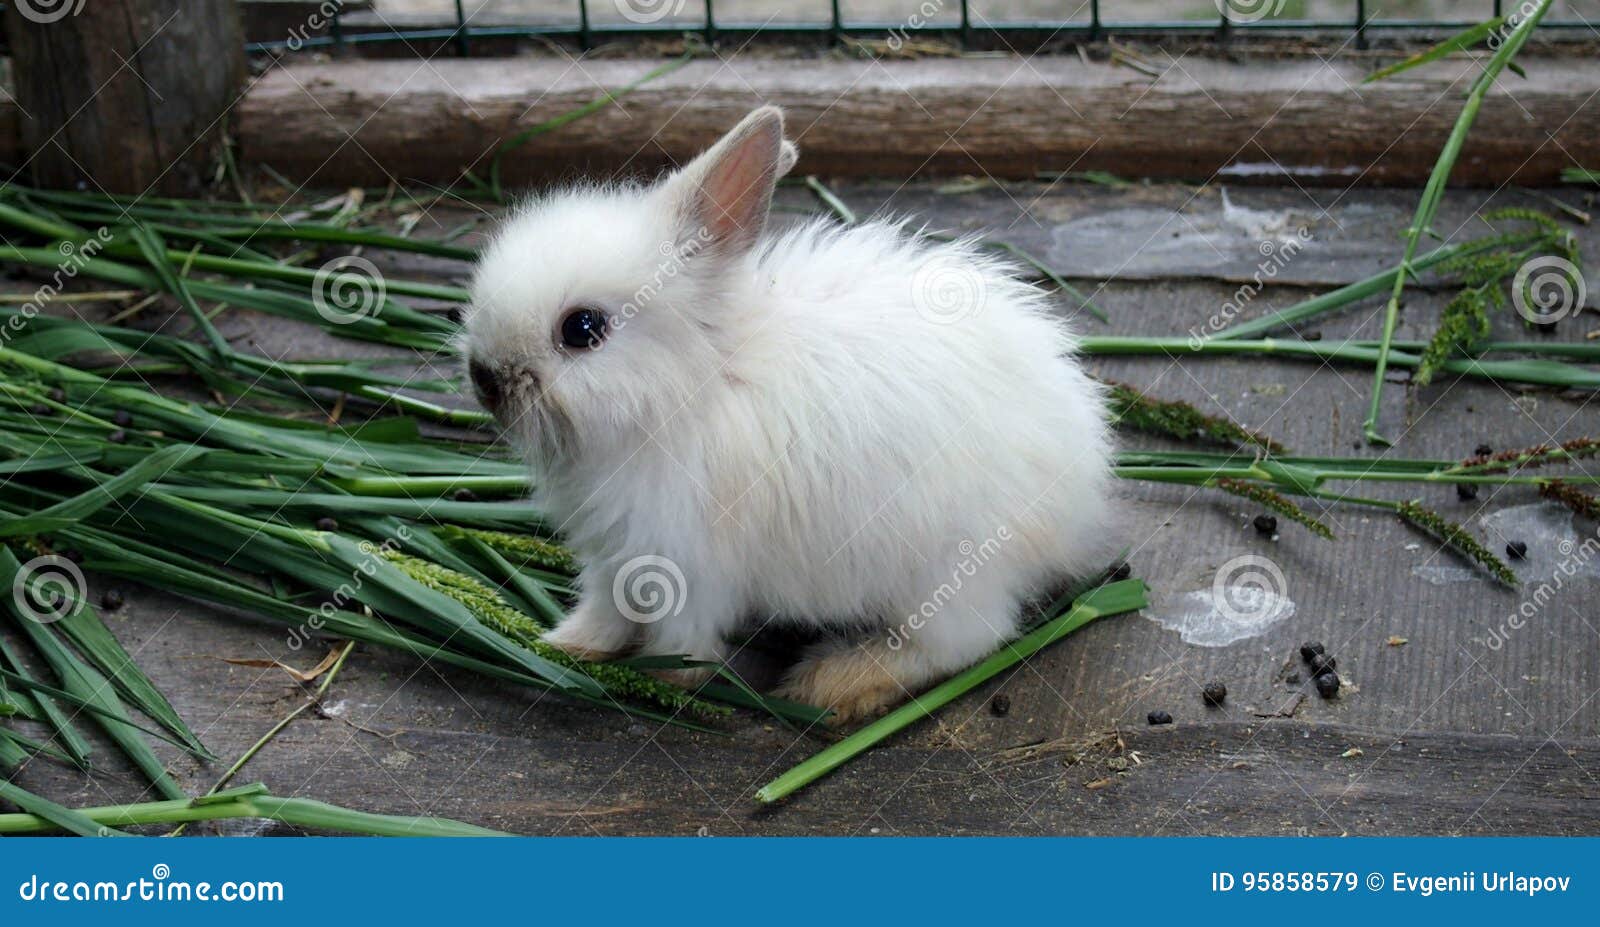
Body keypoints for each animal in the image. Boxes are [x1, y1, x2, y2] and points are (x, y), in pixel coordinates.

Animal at [464, 104, 1113, 720]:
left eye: (582, 328)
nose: (484, 378)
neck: (690, 386)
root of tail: (1079, 504)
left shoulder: (685, 561)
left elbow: (681, 636)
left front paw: (666, 681)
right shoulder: (610, 555)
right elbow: (605, 610)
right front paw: (564, 646)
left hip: (945, 572)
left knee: (966, 642)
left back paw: (837, 683)